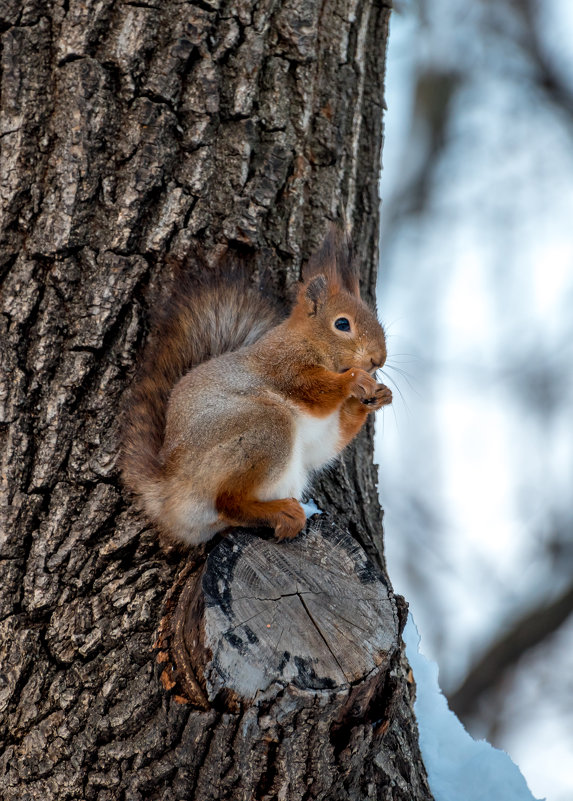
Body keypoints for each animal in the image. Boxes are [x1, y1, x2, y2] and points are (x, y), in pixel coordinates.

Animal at [120, 225, 388, 544]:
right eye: (342, 324)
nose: (378, 360)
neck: (307, 341)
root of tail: (167, 491)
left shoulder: (321, 436)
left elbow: (332, 439)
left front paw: (379, 397)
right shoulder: (282, 365)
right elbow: (313, 388)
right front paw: (354, 380)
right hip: (264, 429)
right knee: (228, 502)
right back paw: (281, 513)